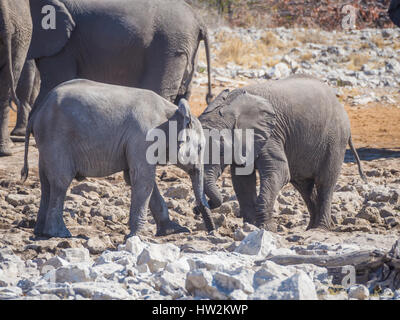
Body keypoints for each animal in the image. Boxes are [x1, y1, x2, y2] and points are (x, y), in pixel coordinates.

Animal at [0, 0, 214, 156]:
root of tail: (199, 20)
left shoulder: (61, 43)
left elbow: (55, 80)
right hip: (184, 48)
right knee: (182, 94)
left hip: (168, 45)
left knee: (160, 89)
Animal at [21, 79, 216, 240]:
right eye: (200, 148)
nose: (211, 231)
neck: (173, 111)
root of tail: (37, 114)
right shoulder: (143, 137)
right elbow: (143, 179)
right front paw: (135, 237)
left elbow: (137, 178)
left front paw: (176, 231)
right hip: (57, 139)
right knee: (60, 182)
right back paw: (59, 234)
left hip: (46, 142)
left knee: (46, 182)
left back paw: (40, 232)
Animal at [198, 74, 368, 230]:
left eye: (222, 150)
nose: (196, 209)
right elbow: (242, 180)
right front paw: (250, 227)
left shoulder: (271, 135)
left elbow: (278, 171)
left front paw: (265, 229)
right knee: (304, 186)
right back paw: (311, 228)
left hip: (335, 140)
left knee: (324, 182)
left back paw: (320, 229)